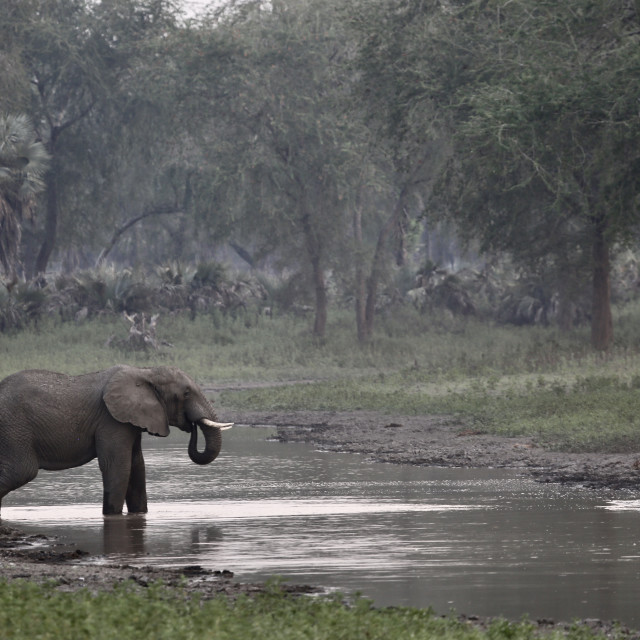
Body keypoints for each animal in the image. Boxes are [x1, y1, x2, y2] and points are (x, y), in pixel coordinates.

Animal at [0, 364, 232, 516]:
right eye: (186, 394)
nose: (192, 426)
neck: (145, 372)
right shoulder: (111, 420)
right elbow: (118, 466)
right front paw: (112, 515)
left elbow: (137, 465)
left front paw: (140, 515)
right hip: (14, 427)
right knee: (21, 471)